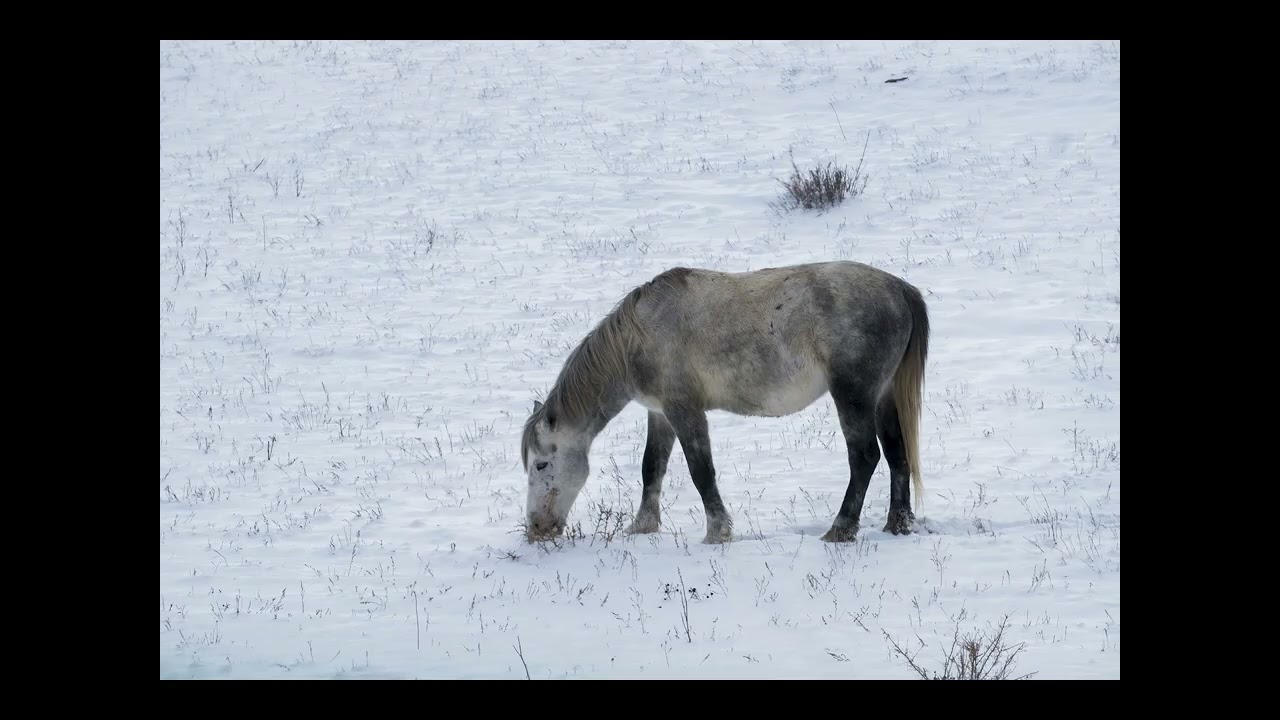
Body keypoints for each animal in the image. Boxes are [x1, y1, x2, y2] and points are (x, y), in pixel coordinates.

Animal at [520, 260, 929, 544]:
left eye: (541, 465)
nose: (537, 528)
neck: (638, 338)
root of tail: (900, 290)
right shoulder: (660, 413)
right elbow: (651, 468)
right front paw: (642, 527)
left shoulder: (684, 410)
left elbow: (701, 471)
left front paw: (717, 532)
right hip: (883, 395)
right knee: (897, 455)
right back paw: (898, 525)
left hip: (853, 394)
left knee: (864, 457)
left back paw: (840, 530)